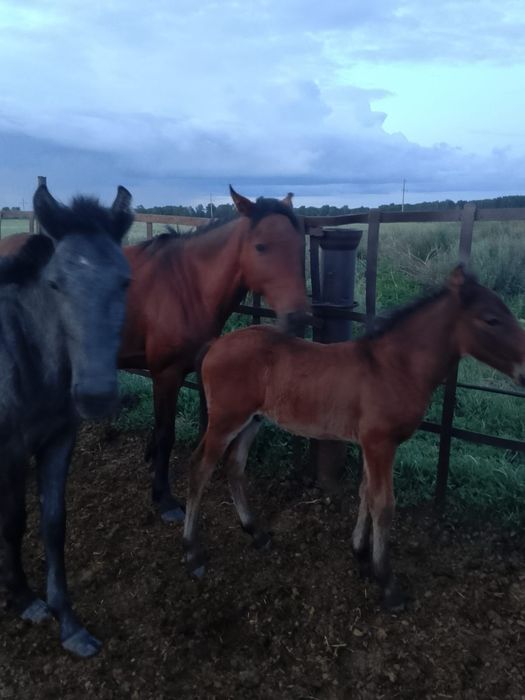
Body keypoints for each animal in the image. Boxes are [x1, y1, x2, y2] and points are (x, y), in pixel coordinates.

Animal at [0, 184, 133, 657]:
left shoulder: (58, 439)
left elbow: (53, 524)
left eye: (125, 281)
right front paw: (24, 598)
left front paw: (69, 624)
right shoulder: (11, 448)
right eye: (55, 284)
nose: (95, 396)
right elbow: (13, 521)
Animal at [118, 186, 310, 522]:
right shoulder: (166, 374)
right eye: (261, 246)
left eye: (301, 247)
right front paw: (164, 498)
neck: (185, 285)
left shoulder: (198, 367)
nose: (298, 317)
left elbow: (199, 422)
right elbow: (166, 433)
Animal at [182, 266, 525, 610]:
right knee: (199, 467)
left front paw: (360, 553)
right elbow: (383, 504)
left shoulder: (370, 444)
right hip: (225, 420)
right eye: (491, 319)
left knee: (234, 466)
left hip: (253, 420)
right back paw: (192, 550)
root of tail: (215, 344)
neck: (393, 368)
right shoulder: (380, 443)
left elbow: (365, 493)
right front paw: (387, 583)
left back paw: (257, 533)